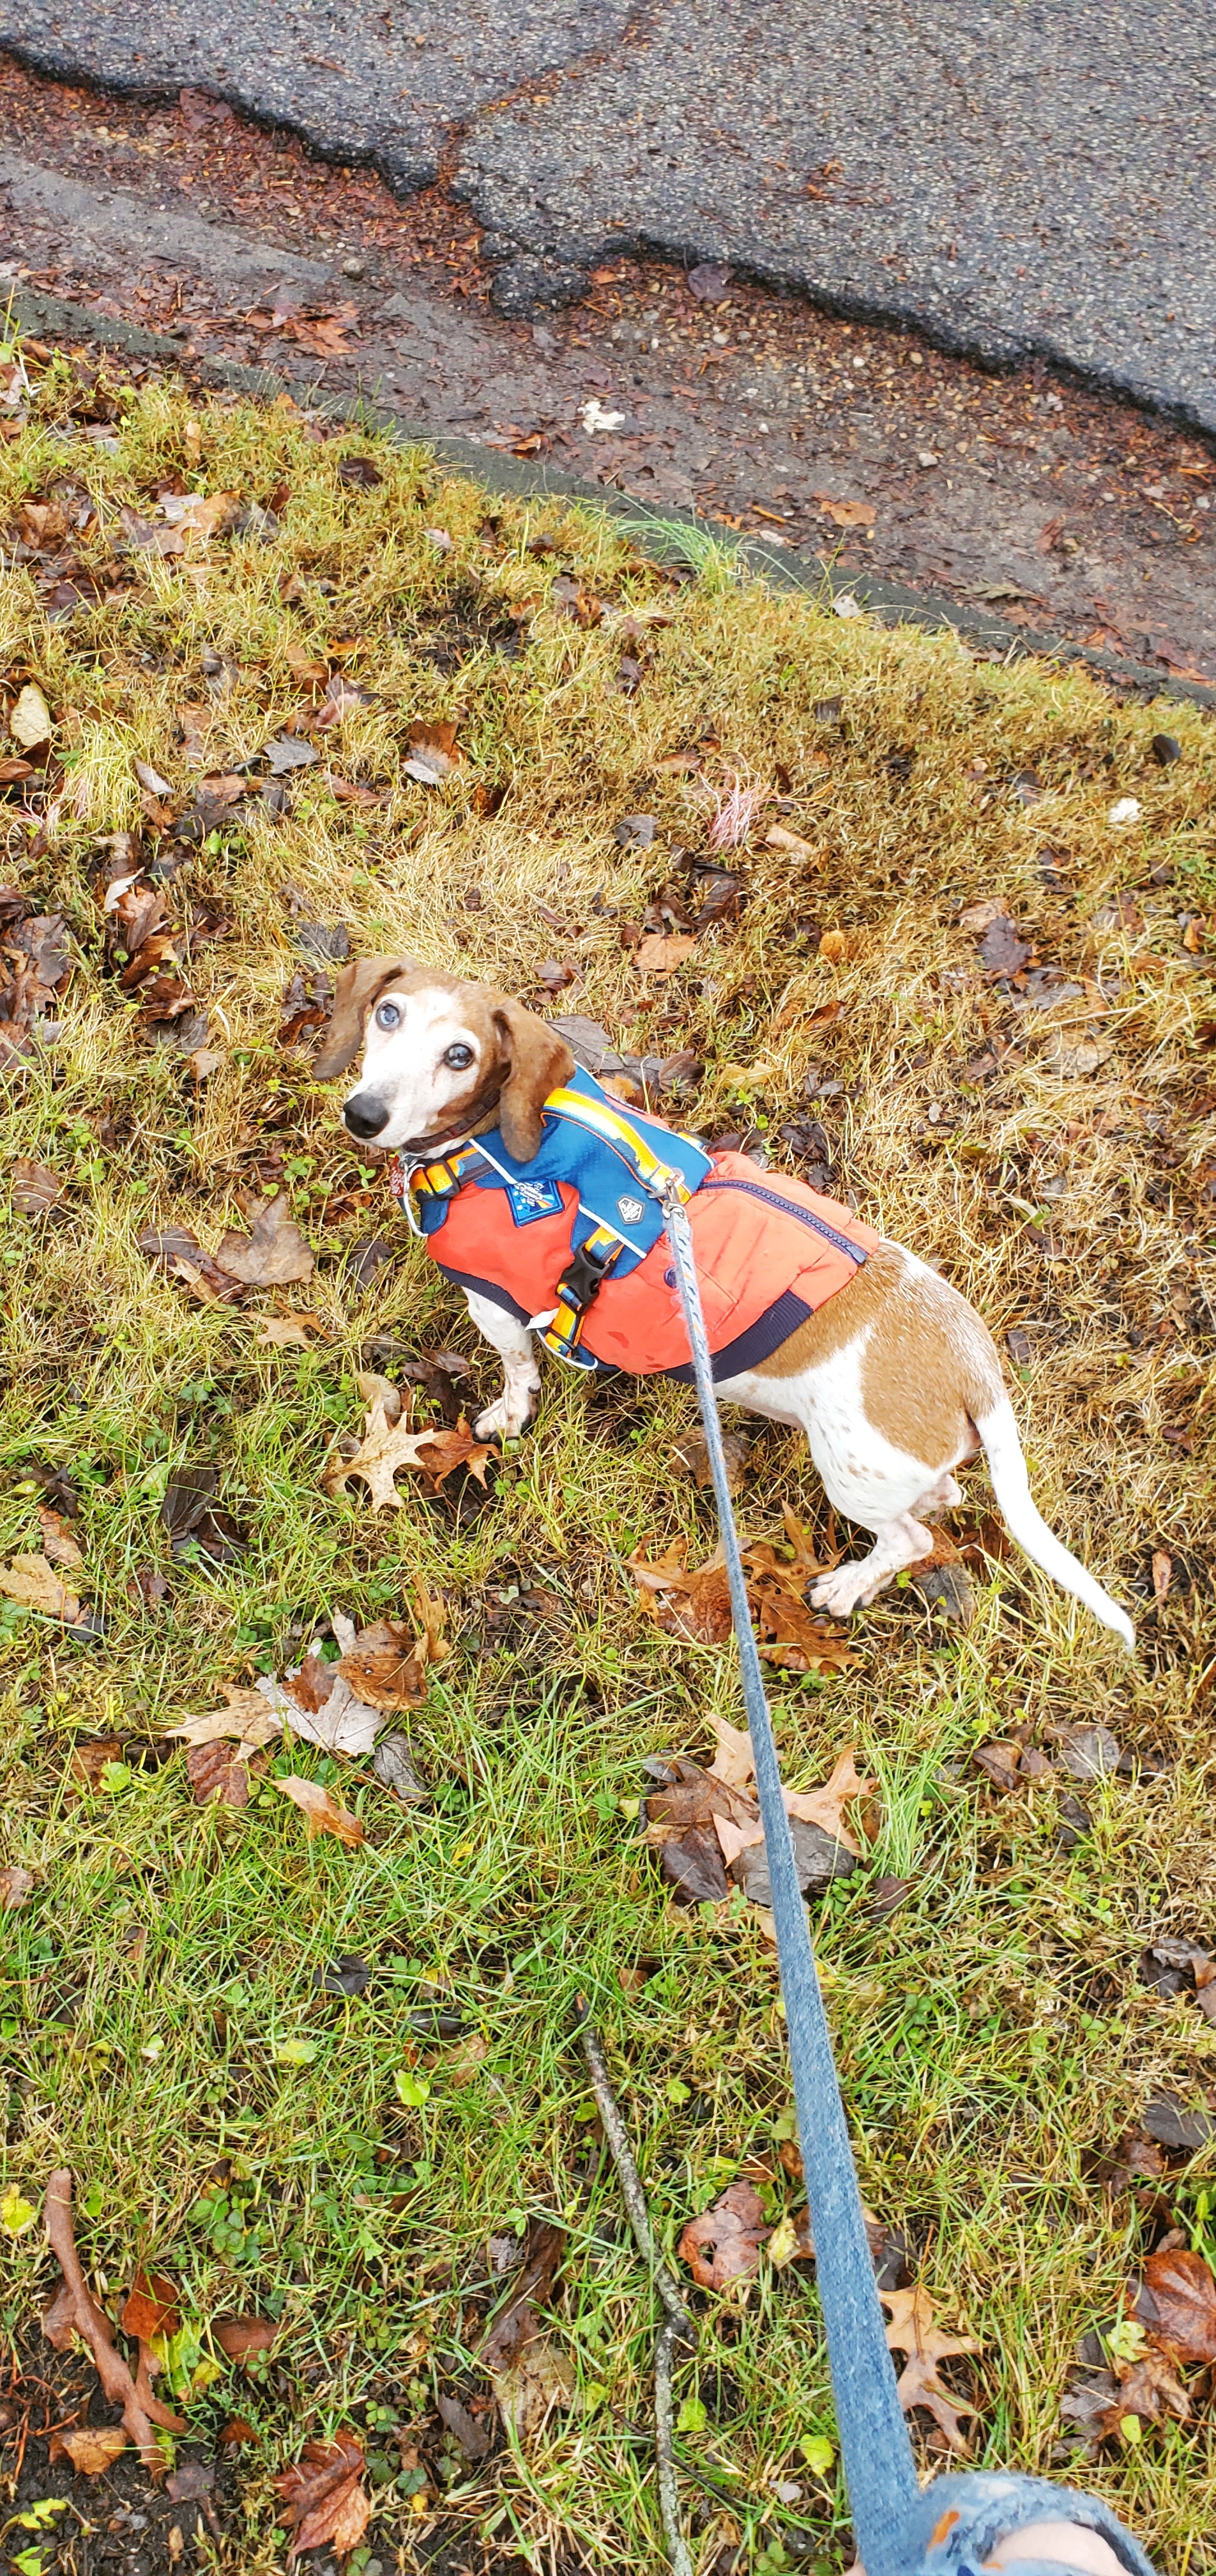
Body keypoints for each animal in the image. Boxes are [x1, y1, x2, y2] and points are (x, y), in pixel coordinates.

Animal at [316, 957, 1134, 1650]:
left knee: (912, 1541)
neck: (494, 1148)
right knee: (938, 1502)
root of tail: (972, 1364)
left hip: (850, 1473)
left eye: (460, 1056)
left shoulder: (498, 1310)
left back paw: (847, 1587)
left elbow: (517, 1374)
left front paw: (505, 1416)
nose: (363, 1114)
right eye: (387, 1014)